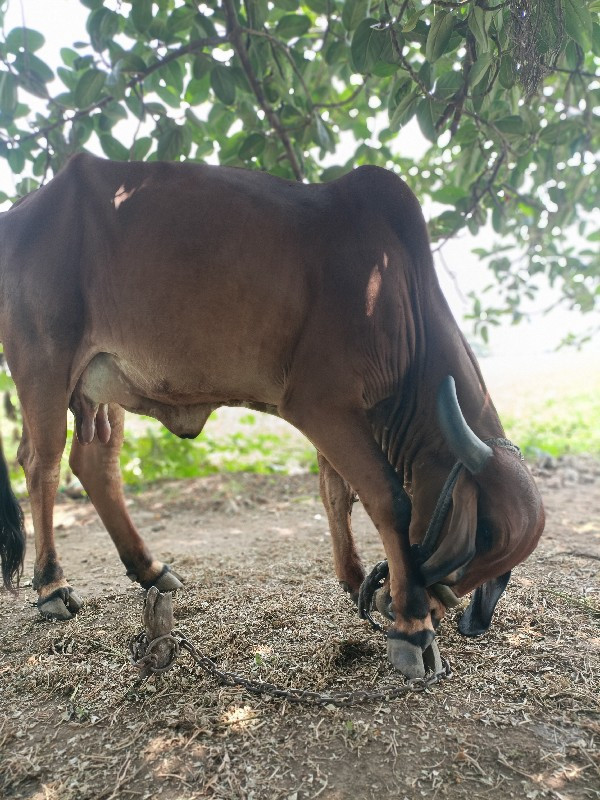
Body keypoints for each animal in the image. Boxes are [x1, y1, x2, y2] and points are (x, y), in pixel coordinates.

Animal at [0, 155, 544, 676]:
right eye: (478, 539)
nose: (423, 605)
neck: (400, 296)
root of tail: (21, 210)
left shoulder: (343, 418)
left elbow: (337, 494)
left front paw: (355, 582)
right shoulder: (320, 403)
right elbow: (389, 501)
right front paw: (413, 629)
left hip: (102, 386)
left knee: (95, 464)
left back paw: (149, 569)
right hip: (44, 361)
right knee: (41, 462)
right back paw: (51, 587)